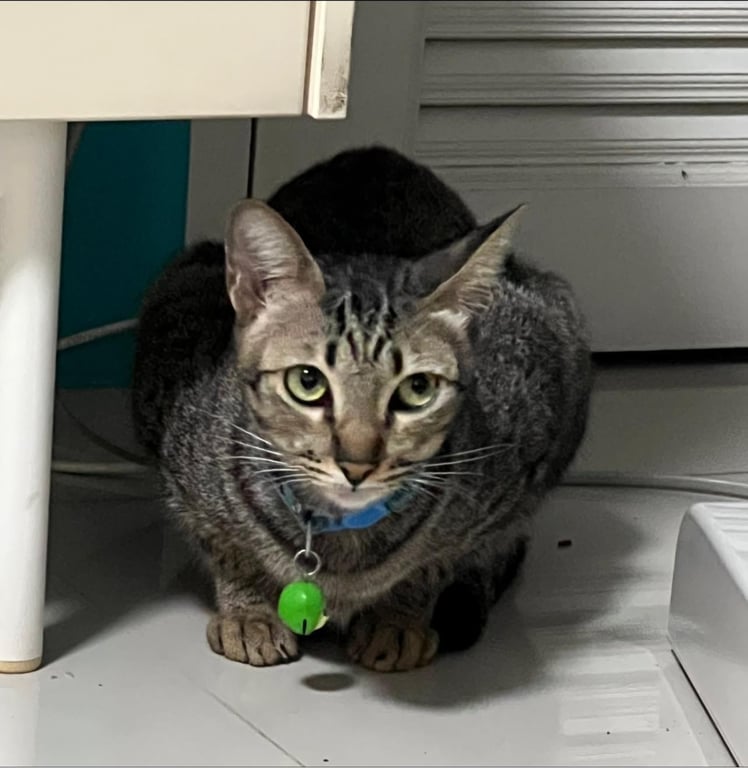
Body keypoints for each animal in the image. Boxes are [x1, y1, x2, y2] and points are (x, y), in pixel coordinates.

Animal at [132, 146, 591, 672]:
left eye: (417, 389)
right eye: (307, 382)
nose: (356, 464)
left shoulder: (523, 453)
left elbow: (441, 559)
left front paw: (399, 619)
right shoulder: (178, 449)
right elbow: (227, 547)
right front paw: (248, 613)